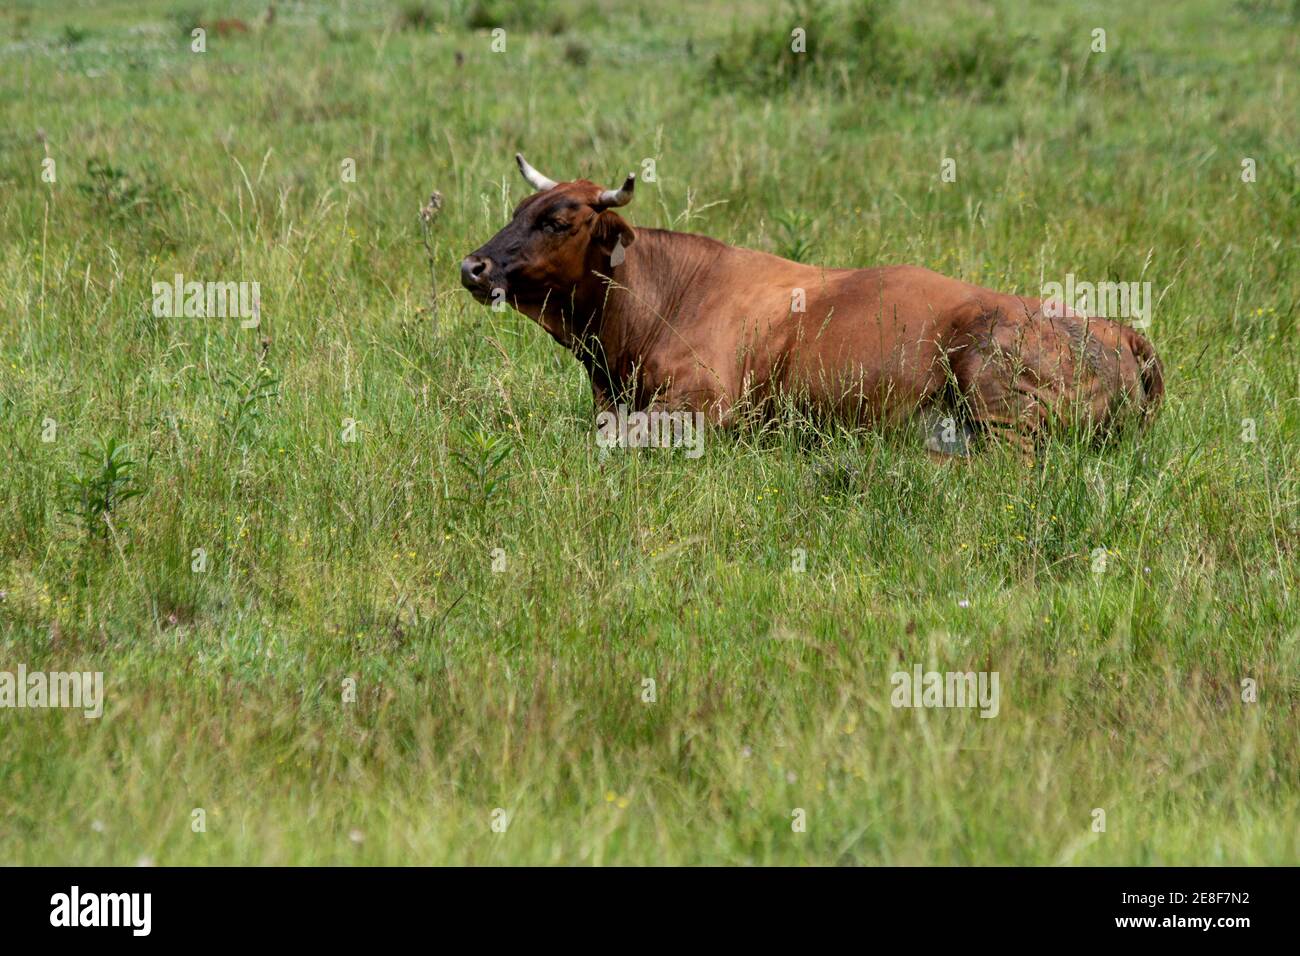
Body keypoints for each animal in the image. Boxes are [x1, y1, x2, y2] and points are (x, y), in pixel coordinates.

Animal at [462, 154, 1164, 455]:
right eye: (517, 209)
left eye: (558, 219)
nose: (474, 265)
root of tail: (1117, 329)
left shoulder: (703, 402)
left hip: (994, 392)